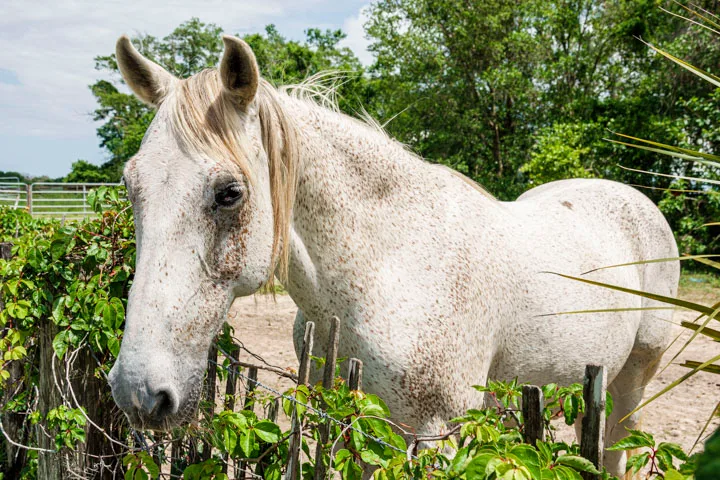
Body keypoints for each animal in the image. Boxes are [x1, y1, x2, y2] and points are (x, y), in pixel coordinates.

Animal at [107, 34, 679, 476]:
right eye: (131, 186)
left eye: (229, 193)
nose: (138, 392)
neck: (390, 267)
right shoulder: (359, 425)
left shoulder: (434, 434)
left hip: (632, 381)